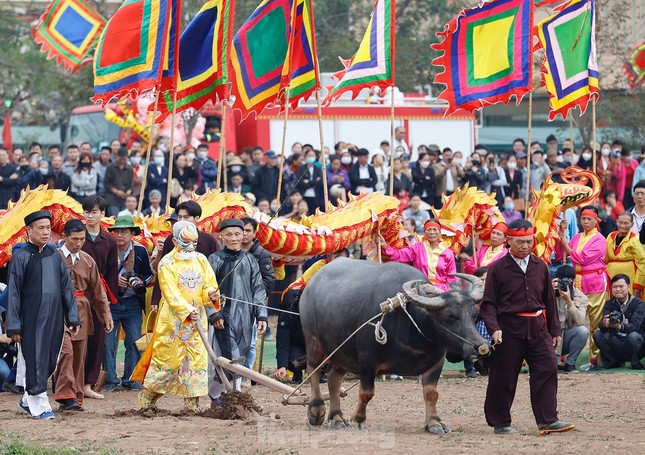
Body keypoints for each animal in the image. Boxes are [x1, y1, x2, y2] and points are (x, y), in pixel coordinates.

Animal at [298, 258, 488, 432]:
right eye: (450, 315)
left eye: (475, 314)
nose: (480, 346)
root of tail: (310, 285)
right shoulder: (367, 361)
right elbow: (366, 393)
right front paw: (358, 420)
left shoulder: (436, 362)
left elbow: (431, 394)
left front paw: (434, 423)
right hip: (314, 343)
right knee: (313, 370)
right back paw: (316, 411)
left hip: (342, 353)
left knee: (333, 380)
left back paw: (337, 418)